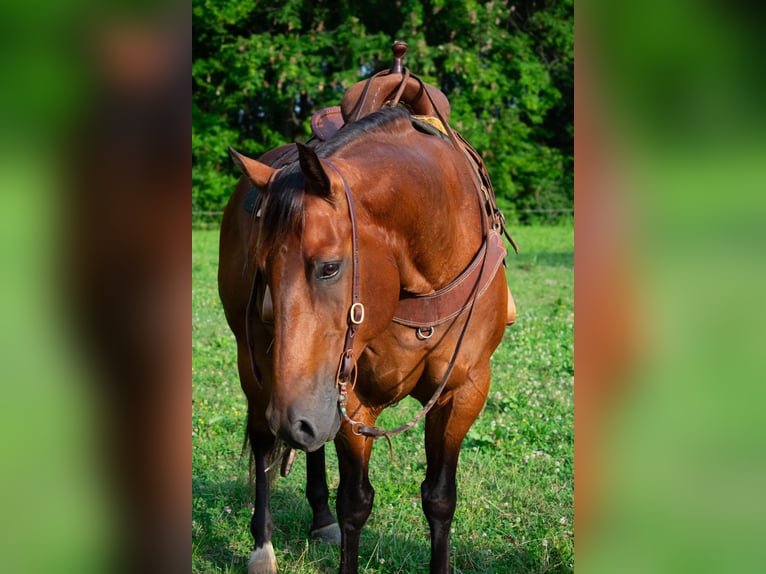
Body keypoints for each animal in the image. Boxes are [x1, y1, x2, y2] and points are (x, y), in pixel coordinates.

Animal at [219, 104, 512, 574]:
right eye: (262, 269)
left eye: (329, 267)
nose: (291, 420)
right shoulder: (355, 399)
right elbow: (355, 503)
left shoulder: (464, 392)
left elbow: (440, 498)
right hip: (257, 364)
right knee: (265, 441)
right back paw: (262, 548)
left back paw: (319, 518)